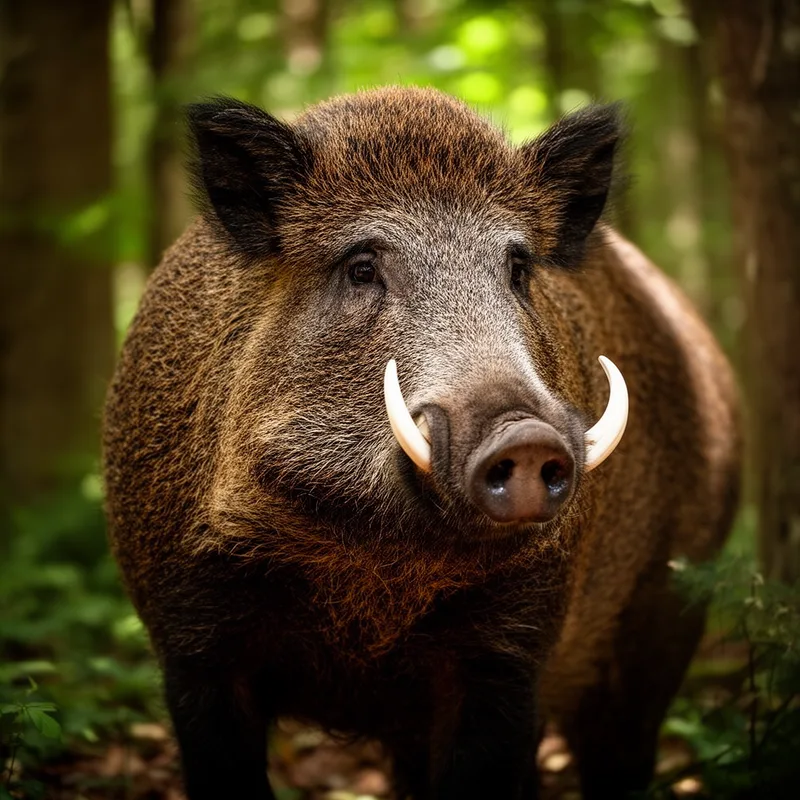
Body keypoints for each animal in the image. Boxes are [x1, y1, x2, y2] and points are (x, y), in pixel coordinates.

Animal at [103, 87, 740, 800]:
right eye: (361, 267)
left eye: (519, 269)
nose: (527, 436)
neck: (374, 564)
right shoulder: (190, 639)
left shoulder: (512, 652)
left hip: (674, 597)